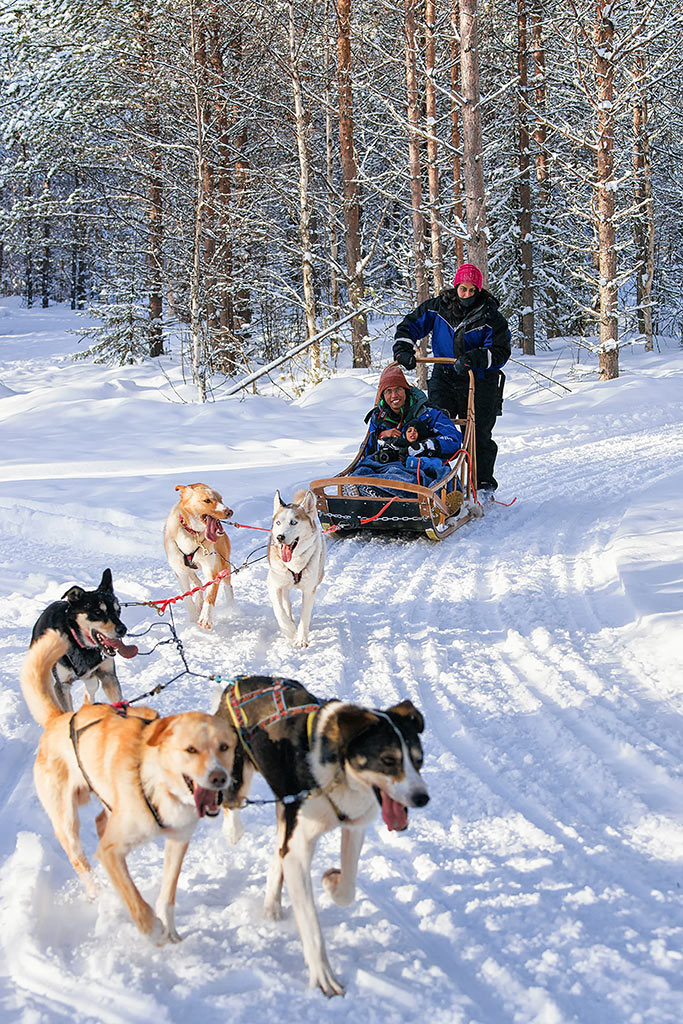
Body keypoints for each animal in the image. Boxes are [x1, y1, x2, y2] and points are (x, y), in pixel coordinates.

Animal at [20, 626, 237, 937]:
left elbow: (167, 893)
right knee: (79, 856)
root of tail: (58, 719)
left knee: (100, 820)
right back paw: (97, 893)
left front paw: (169, 927)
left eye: (224, 747)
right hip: (66, 820)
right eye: (190, 750)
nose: (219, 778)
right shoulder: (110, 853)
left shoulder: (178, 840)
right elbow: (135, 900)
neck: (156, 784)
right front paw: (153, 930)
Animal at [28, 569, 137, 712]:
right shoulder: (62, 685)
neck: (79, 644)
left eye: (118, 610)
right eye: (97, 612)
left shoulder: (108, 676)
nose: (123, 629)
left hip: (92, 680)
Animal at [163, 481, 235, 630]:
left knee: (227, 586)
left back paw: (232, 609)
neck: (192, 534)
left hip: (224, 564)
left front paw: (206, 617)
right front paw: (192, 618)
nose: (229, 511)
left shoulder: (212, 569)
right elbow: (187, 597)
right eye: (207, 500)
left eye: (221, 499)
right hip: (190, 570)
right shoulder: (181, 572)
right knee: (199, 584)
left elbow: (211, 592)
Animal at [214, 675, 428, 995]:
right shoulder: (300, 849)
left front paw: (331, 881)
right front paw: (323, 976)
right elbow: (311, 925)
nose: (422, 798)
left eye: (419, 760)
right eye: (388, 760)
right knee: (230, 801)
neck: (339, 773)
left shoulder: (353, 827)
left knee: (278, 850)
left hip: (285, 807)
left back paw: (272, 905)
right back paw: (233, 830)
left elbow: (348, 888)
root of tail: (237, 681)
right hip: (237, 776)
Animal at [266, 489, 325, 647]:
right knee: (286, 601)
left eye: (293, 522)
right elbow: (279, 611)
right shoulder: (273, 584)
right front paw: (290, 630)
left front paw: (302, 639)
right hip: (283, 583)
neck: (294, 564)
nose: (280, 537)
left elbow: (305, 617)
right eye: (278, 522)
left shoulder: (309, 590)